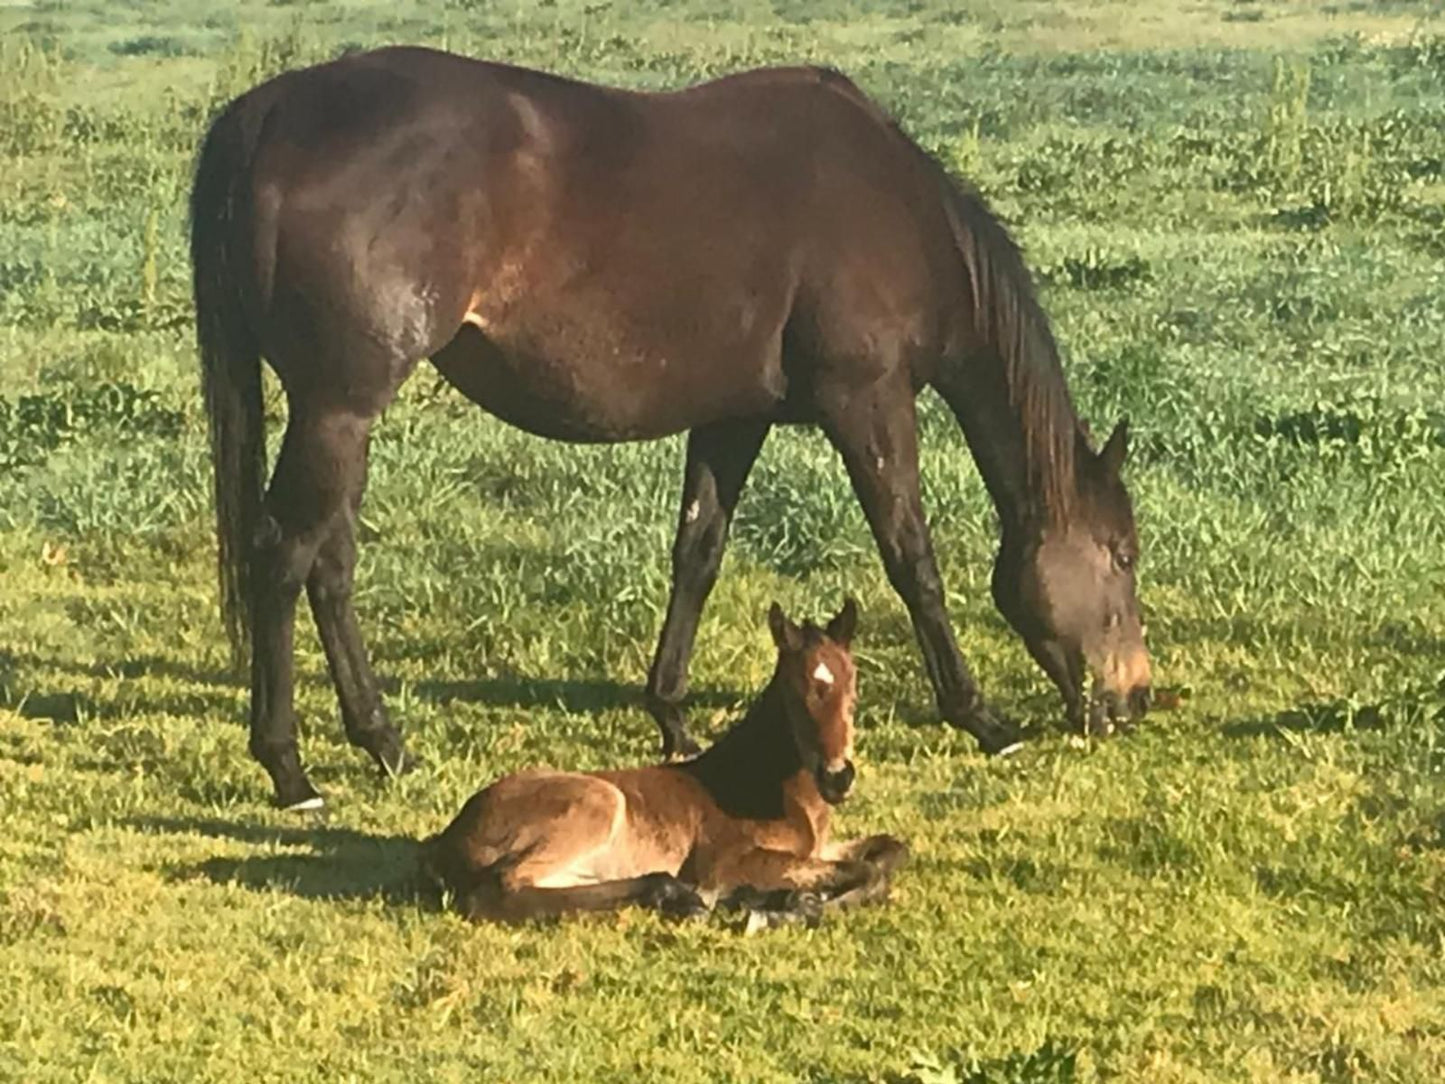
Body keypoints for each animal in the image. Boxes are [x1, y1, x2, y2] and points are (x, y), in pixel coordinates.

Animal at [192, 46, 1156, 809]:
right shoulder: (867, 401)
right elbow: (910, 558)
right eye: (1121, 554)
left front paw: (672, 716)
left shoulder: (733, 416)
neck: (896, 213)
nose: (1136, 696)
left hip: (337, 418)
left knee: (328, 566)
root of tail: (269, 109)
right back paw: (289, 768)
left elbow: (697, 552)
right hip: (338, 408)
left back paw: (384, 742)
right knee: (284, 556)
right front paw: (982, 716)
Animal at [419, 604, 907, 925]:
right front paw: (806, 904)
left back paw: (684, 895)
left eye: (853, 690)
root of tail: (447, 842)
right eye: (796, 695)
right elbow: (866, 869)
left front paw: (783, 900)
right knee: (498, 891)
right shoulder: (726, 862)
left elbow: (891, 850)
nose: (838, 776)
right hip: (597, 801)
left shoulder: (819, 849)